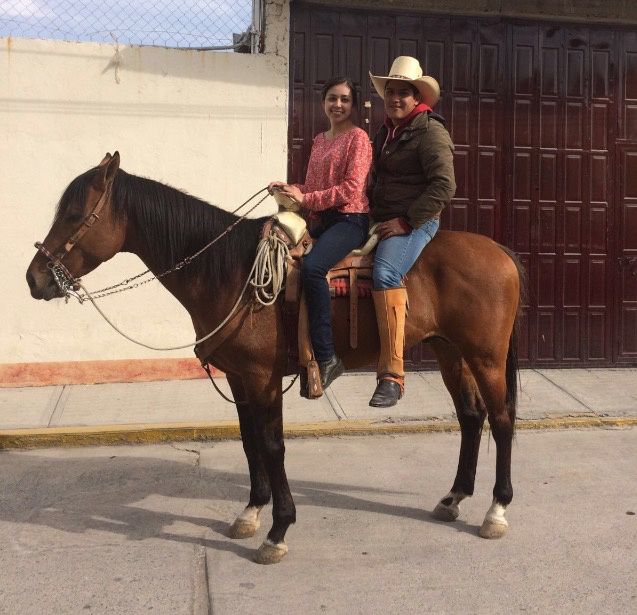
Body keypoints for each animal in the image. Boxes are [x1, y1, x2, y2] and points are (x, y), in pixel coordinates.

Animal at [26, 153, 520, 564]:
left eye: (74, 214)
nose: (34, 279)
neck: (232, 272)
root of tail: (501, 251)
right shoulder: (240, 377)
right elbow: (250, 442)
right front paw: (251, 512)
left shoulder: (263, 377)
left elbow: (272, 445)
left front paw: (278, 531)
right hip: (449, 351)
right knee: (471, 417)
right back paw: (454, 498)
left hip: (485, 356)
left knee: (500, 420)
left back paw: (496, 510)